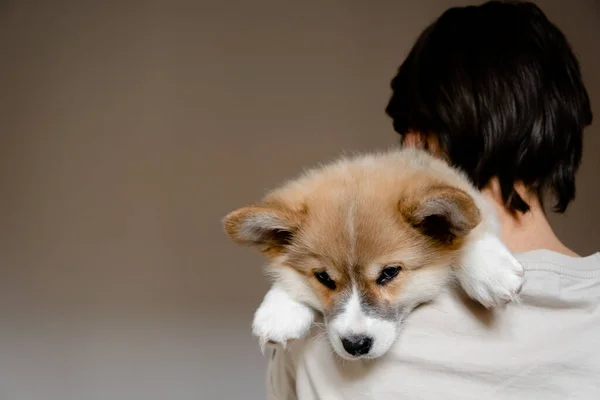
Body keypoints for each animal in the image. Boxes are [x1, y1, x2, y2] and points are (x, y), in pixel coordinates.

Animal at [223, 147, 524, 360]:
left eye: (389, 273)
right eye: (324, 278)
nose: (355, 345)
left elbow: (474, 226)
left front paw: (490, 271)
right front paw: (279, 310)